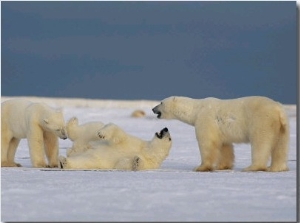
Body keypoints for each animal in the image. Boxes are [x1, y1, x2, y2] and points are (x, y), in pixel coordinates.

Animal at [154, 96, 290, 172]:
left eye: (161, 102)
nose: (153, 109)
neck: (196, 109)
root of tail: (278, 110)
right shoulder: (220, 130)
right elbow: (225, 146)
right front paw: (223, 166)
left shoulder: (205, 119)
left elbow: (207, 143)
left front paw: (200, 167)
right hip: (282, 127)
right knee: (280, 146)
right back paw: (277, 168)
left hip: (262, 121)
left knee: (260, 143)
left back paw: (252, 167)